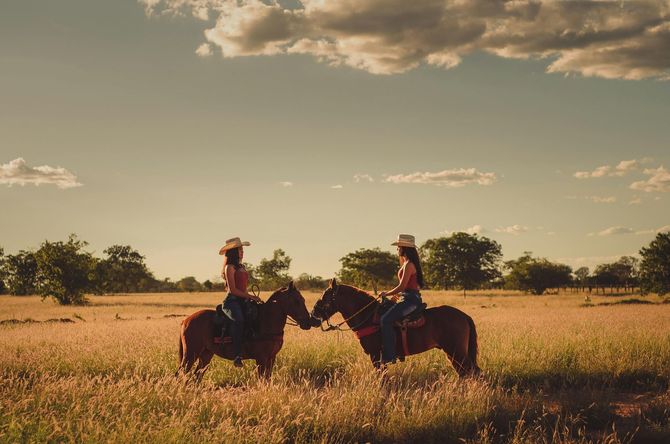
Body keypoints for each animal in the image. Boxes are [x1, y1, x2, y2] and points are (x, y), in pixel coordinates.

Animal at [178, 282, 316, 380]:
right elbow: (262, 380)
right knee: (181, 374)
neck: (265, 321)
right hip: (190, 354)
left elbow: (267, 379)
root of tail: (186, 320)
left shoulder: (271, 358)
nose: (308, 323)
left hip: (206, 354)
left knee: (196, 376)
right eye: (297, 301)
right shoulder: (261, 359)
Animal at [312, 280, 484, 376]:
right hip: (453, 353)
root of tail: (464, 315)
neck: (368, 316)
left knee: (473, 373)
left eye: (325, 297)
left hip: (457, 352)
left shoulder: (376, 356)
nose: (313, 315)